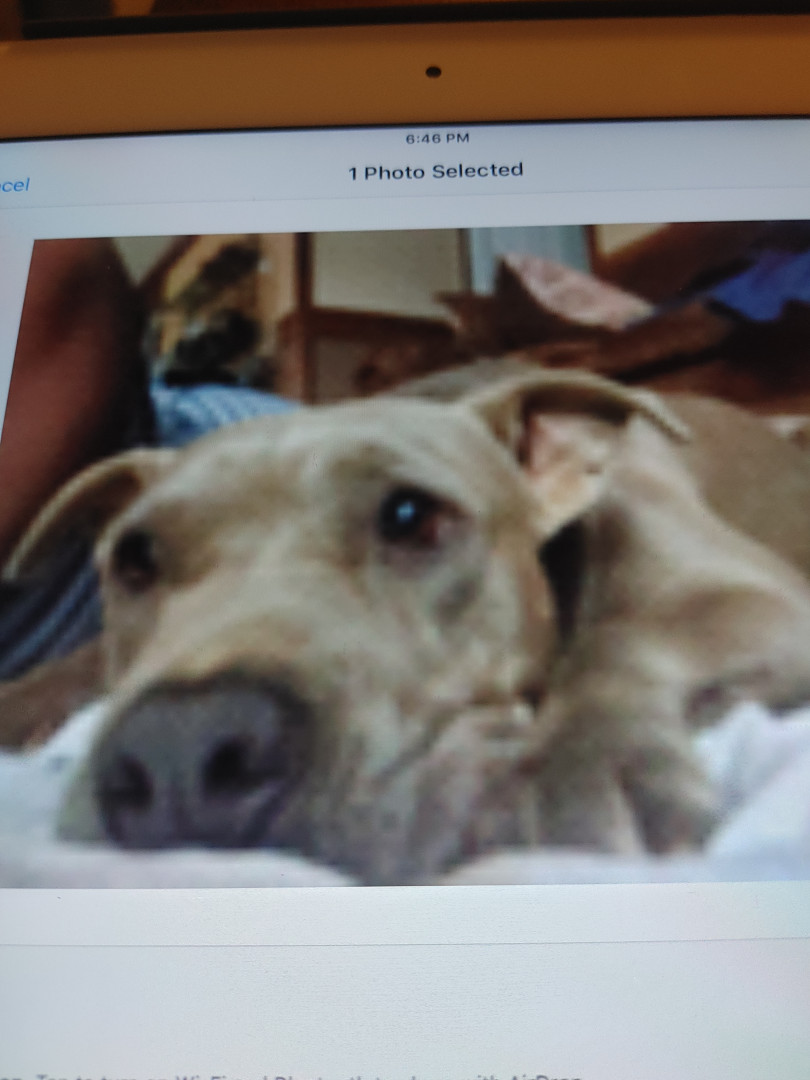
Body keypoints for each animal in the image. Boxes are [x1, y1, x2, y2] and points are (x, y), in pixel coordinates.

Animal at [6, 369, 810, 883]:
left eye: (411, 517)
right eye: (134, 559)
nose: (180, 752)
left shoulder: (752, 600)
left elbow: (622, 639)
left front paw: (576, 761)